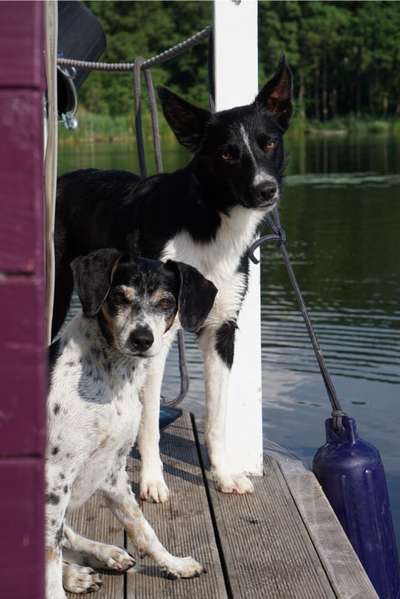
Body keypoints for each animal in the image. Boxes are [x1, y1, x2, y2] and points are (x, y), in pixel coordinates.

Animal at [45, 248, 217, 599]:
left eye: (166, 302)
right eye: (118, 297)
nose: (142, 339)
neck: (112, 385)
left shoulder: (113, 472)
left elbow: (142, 527)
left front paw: (174, 564)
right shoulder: (55, 479)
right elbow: (50, 557)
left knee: (70, 535)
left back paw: (105, 555)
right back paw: (76, 574)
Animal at [53, 59, 292, 502]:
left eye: (268, 143)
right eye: (227, 153)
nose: (265, 190)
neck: (209, 222)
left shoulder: (221, 330)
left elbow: (217, 419)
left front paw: (224, 475)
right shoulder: (154, 338)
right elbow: (148, 424)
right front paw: (152, 481)